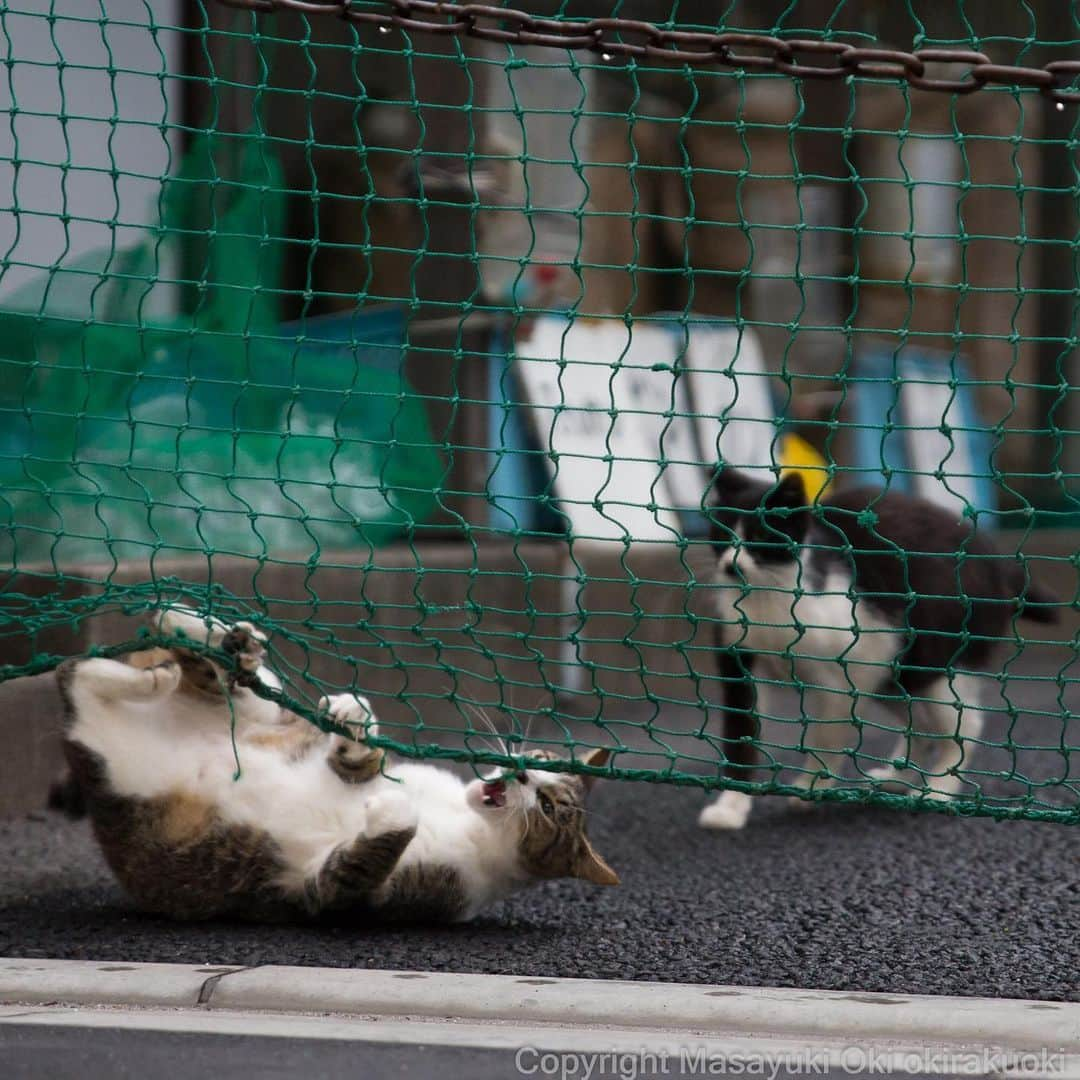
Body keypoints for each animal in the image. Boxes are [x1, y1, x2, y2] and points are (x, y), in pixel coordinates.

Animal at [695, 468, 1058, 829]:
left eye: (760, 533)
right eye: (721, 532)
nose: (730, 566)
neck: (768, 598)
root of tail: (999, 562)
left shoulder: (839, 677)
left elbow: (825, 736)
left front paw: (812, 785)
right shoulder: (742, 665)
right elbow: (741, 735)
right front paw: (730, 807)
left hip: (935, 661)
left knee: (965, 726)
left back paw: (938, 789)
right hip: (892, 670)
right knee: (922, 724)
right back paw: (898, 779)